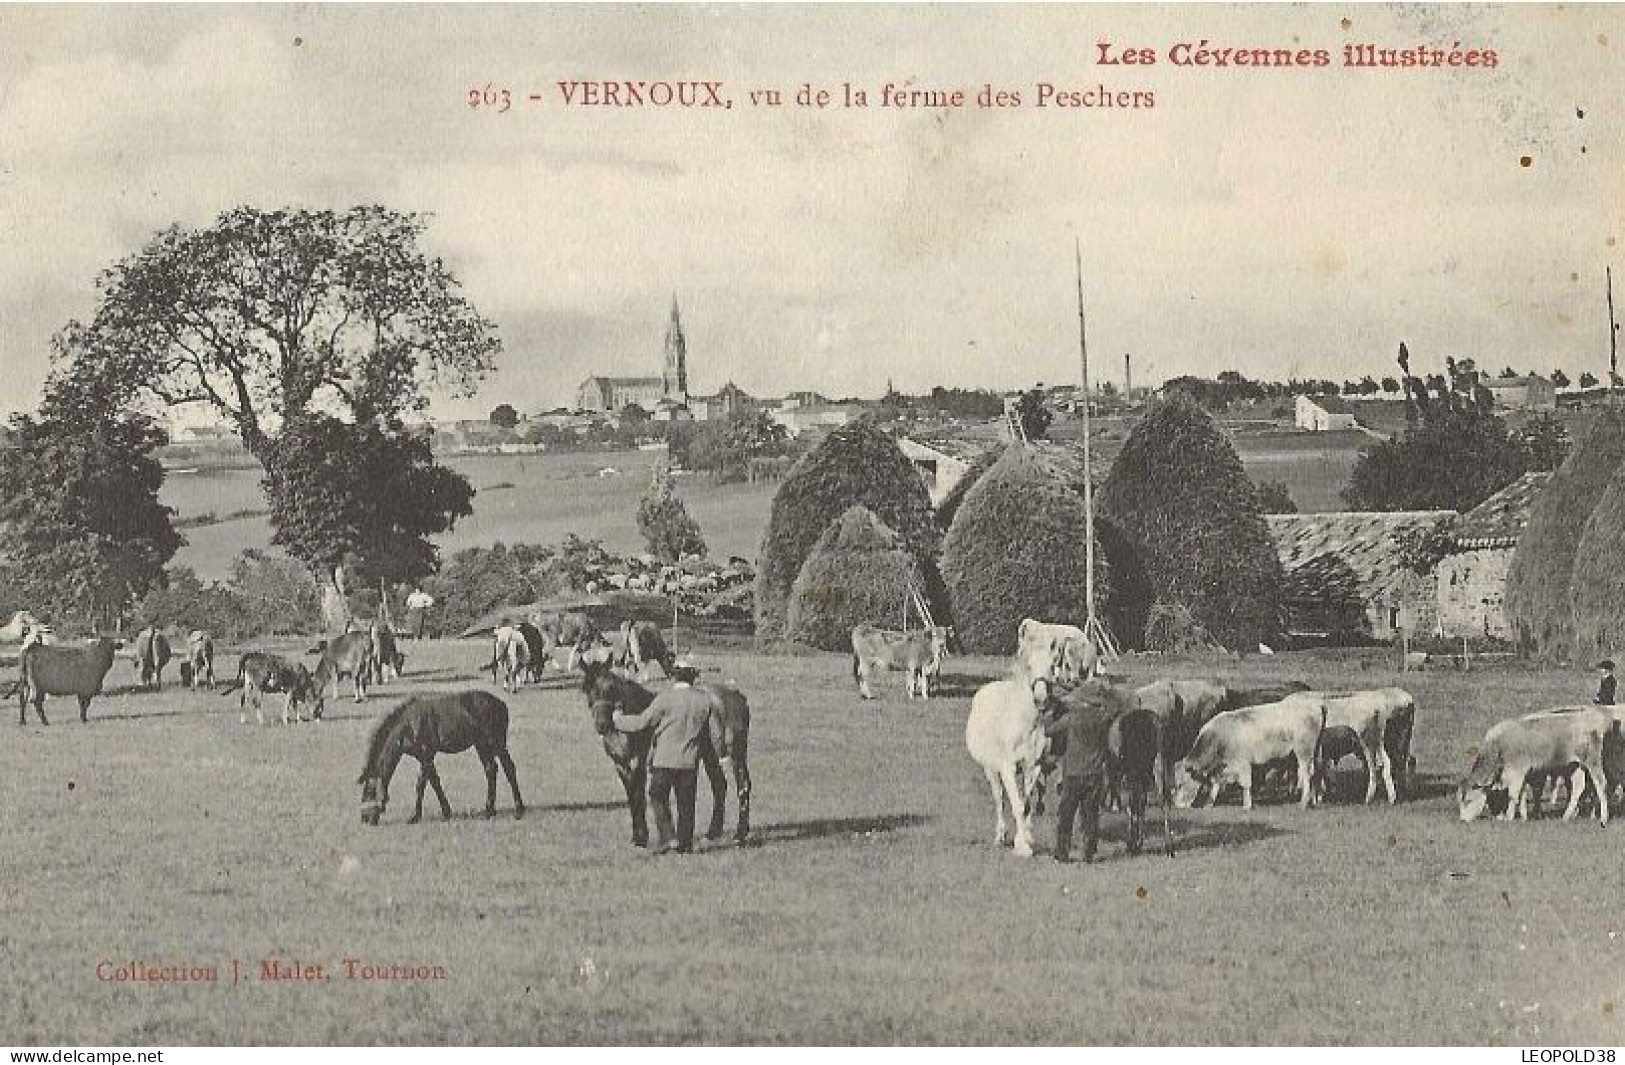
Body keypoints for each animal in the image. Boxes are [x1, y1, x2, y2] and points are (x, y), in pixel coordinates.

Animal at [359, 686, 523, 829]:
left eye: (369, 792)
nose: (364, 819)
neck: (409, 724)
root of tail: (500, 703)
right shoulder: (424, 757)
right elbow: (434, 782)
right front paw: (445, 812)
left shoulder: (426, 754)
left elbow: (421, 785)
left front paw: (415, 816)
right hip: (481, 745)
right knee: (491, 770)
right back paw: (489, 811)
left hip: (496, 743)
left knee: (509, 769)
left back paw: (518, 810)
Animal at [581, 663, 750, 845]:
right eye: (586, 689)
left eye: (611, 688)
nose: (602, 725)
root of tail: (736, 695)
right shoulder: (620, 764)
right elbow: (631, 795)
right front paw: (636, 836)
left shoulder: (639, 761)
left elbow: (638, 794)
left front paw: (642, 837)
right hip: (710, 754)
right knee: (719, 785)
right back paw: (712, 833)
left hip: (735, 753)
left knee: (743, 786)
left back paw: (740, 835)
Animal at [962, 666, 1053, 858]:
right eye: (1029, 666)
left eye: (1052, 664)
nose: (1041, 699)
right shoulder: (1007, 768)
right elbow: (1014, 804)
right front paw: (1022, 847)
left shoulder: (1034, 766)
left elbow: (1025, 804)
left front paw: (1025, 838)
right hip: (990, 769)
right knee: (999, 798)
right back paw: (1000, 836)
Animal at [1176, 695, 1326, 812]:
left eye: (1181, 784)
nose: (1177, 805)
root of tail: (1316, 704)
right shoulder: (1222, 767)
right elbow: (1215, 784)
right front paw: (1208, 804)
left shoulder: (1243, 762)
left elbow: (1246, 784)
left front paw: (1247, 805)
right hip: (1316, 751)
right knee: (1317, 772)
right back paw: (1314, 801)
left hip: (1304, 750)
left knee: (1307, 774)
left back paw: (1303, 803)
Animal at [1456, 712, 1618, 829]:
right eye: (1460, 800)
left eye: (1468, 800)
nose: (1462, 820)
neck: (1498, 746)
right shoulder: (1522, 774)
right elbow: (1521, 795)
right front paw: (1523, 817)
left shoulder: (1517, 771)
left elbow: (1513, 795)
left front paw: (1508, 818)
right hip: (1575, 765)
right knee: (1578, 787)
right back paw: (1566, 817)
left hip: (1592, 761)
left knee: (1601, 784)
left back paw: (1603, 819)